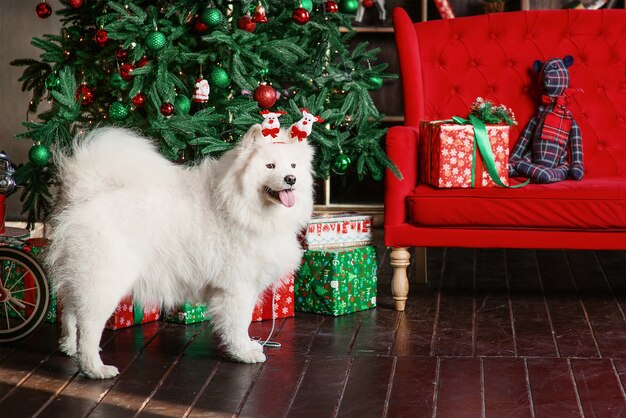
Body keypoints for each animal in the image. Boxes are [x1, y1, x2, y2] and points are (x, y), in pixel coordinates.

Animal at [46, 124, 314, 378]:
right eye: (270, 166)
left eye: (293, 165)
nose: (291, 178)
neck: (238, 206)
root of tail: (83, 197)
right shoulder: (236, 288)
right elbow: (238, 323)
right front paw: (243, 353)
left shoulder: (246, 286)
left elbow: (244, 321)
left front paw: (248, 346)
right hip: (103, 282)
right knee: (88, 327)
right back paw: (95, 368)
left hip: (81, 278)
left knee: (69, 313)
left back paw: (69, 347)